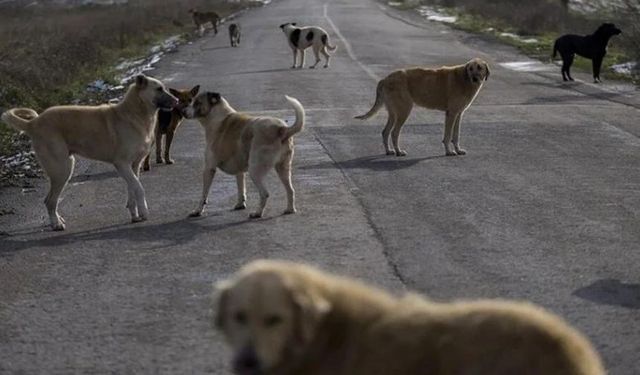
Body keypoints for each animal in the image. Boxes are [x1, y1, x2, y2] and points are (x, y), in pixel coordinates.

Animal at [2, 75, 179, 231]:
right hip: (62, 170)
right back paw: (56, 225)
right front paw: (144, 211)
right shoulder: (122, 164)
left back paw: (58, 221)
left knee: (51, 200)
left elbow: (132, 189)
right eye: (158, 89)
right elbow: (139, 188)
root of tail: (33, 123)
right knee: (49, 201)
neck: (136, 112)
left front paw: (135, 215)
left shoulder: (133, 166)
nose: (177, 101)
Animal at [356, 58, 490, 157]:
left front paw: (458, 150)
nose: (474, 78)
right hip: (404, 111)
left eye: (479, 67)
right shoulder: (451, 114)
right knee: (394, 132)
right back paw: (399, 151)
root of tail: (385, 79)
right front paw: (448, 151)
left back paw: (389, 151)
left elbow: (456, 135)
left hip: (394, 113)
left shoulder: (458, 114)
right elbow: (447, 136)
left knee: (385, 132)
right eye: (470, 68)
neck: (464, 79)